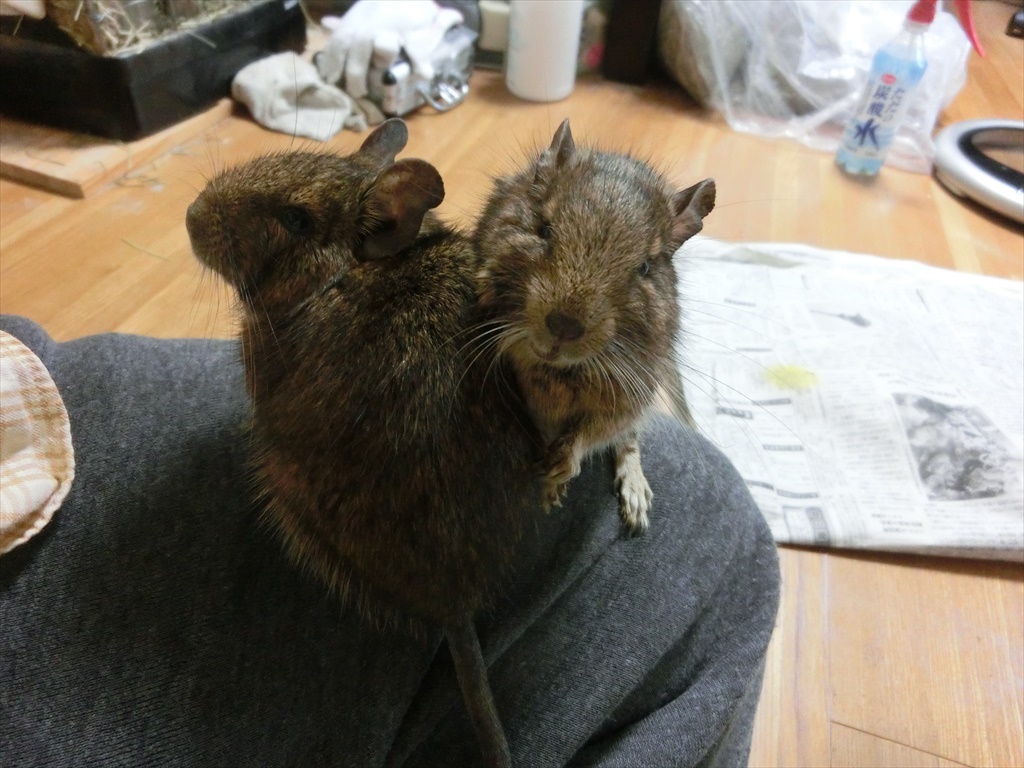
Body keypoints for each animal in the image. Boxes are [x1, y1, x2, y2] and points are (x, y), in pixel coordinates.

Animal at [474, 119, 716, 535]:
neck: (560, 371)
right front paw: (549, 487)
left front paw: (560, 468)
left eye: (645, 267)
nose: (563, 327)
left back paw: (636, 498)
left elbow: (597, 433)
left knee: (628, 441)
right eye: (543, 229)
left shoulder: (630, 394)